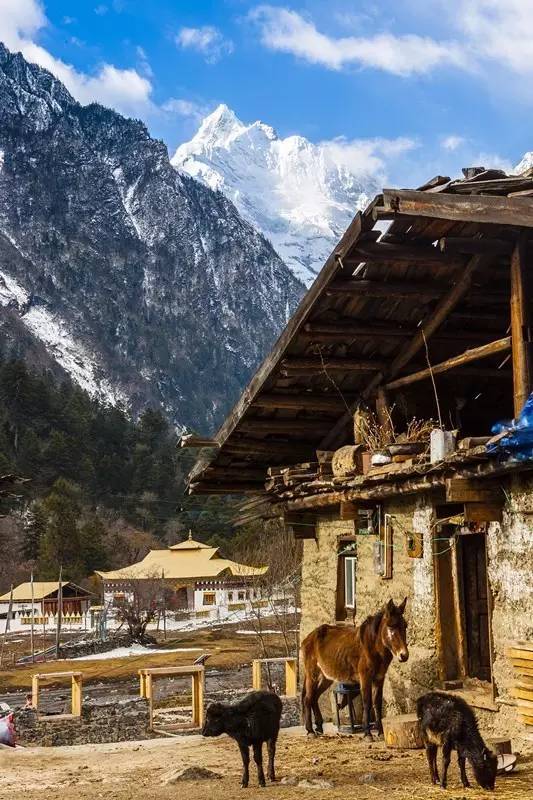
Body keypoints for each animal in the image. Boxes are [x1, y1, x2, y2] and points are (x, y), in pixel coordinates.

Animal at [300, 600, 408, 736]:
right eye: (391, 627)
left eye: (405, 626)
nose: (404, 655)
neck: (373, 647)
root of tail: (309, 636)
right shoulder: (365, 678)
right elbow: (367, 702)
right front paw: (368, 733)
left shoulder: (379, 678)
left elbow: (377, 703)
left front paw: (381, 732)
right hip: (312, 674)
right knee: (308, 698)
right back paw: (310, 731)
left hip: (326, 677)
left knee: (314, 697)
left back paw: (319, 727)